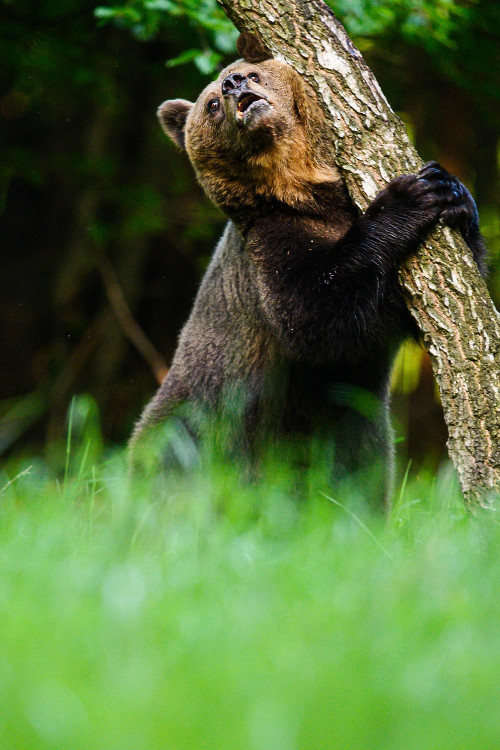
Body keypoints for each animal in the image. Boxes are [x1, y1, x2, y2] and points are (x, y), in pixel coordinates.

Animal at [129, 36, 484, 506]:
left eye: (253, 73)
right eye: (211, 104)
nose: (233, 84)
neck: (304, 190)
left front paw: (450, 189)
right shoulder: (271, 243)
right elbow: (312, 315)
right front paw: (409, 196)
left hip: (353, 436)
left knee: (359, 486)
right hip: (198, 428)